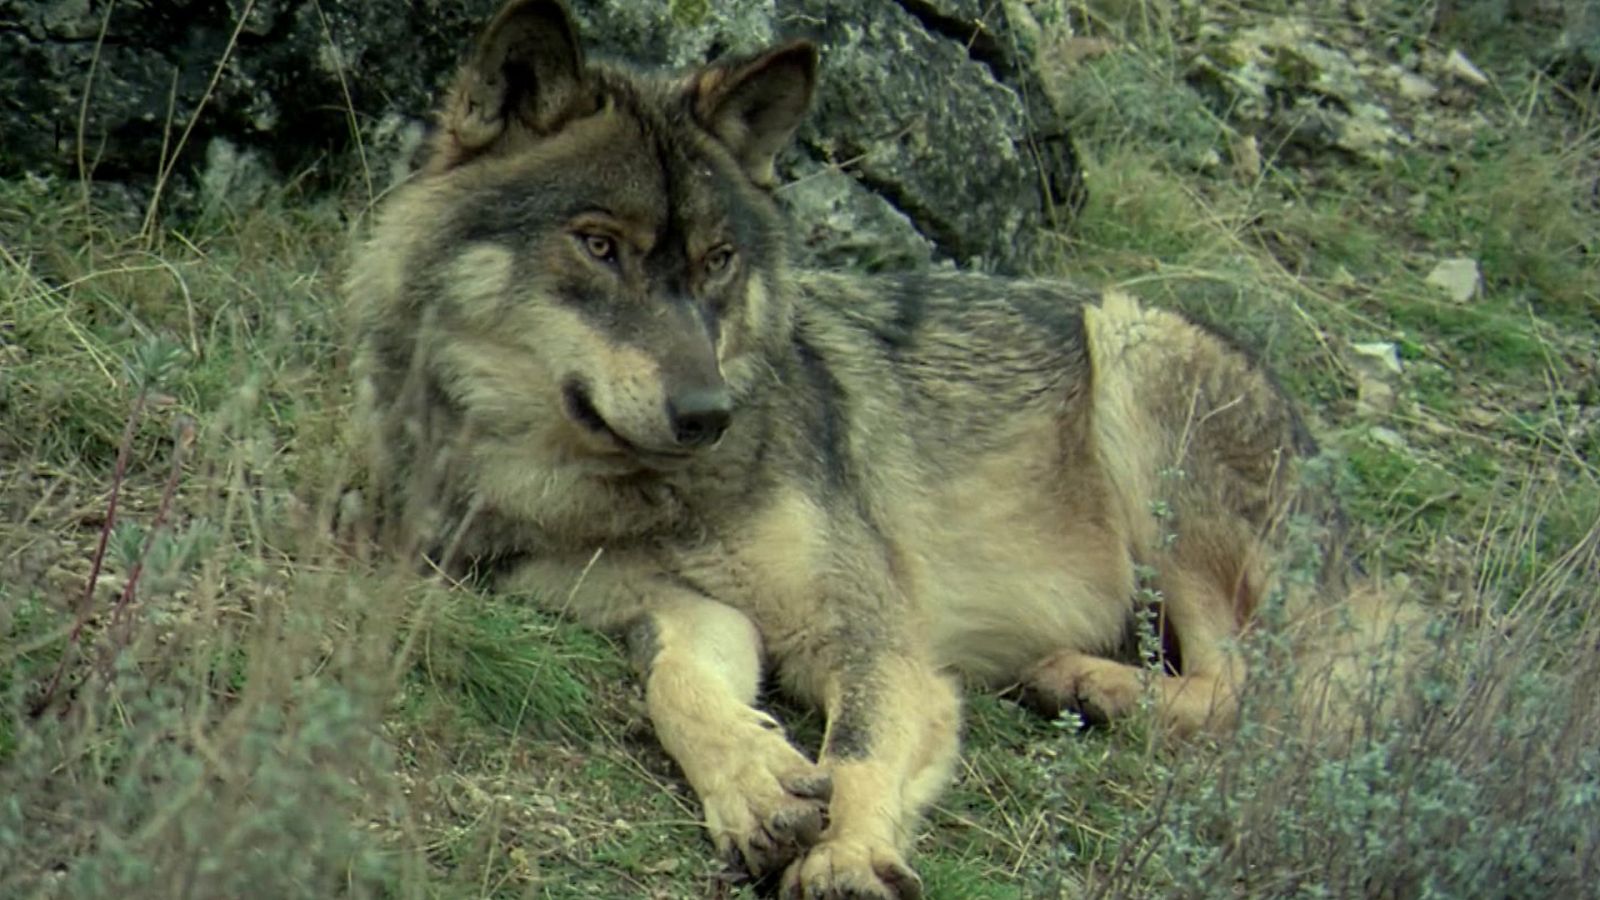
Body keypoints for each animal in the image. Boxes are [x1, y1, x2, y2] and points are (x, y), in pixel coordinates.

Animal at [344, 3, 1420, 890]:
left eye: (717, 262)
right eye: (599, 245)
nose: (707, 412)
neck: (620, 495)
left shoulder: (876, 639)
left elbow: (859, 750)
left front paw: (848, 857)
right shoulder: (673, 612)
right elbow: (674, 685)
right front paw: (759, 784)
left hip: (1137, 378)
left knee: (1256, 692)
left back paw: (1086, 683)